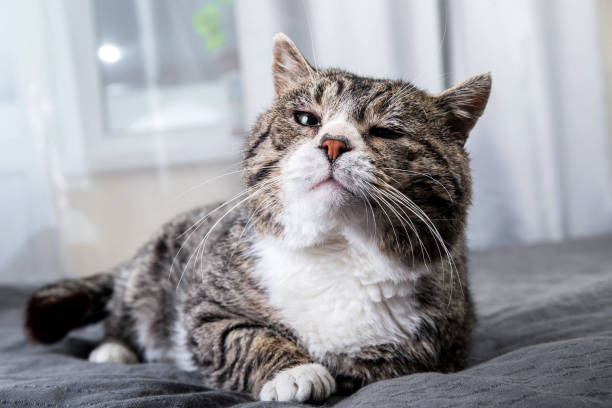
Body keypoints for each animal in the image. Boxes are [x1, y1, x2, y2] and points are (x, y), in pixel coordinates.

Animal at [25, 32, 492, 402]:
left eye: (387, 132)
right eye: (306, 118)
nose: (334, 143)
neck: (336, 250)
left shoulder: (431, 348)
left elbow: (365, 366)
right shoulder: (206, 309)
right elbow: (244, 337)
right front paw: (295, 372)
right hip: (151, 272)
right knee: (123, 306)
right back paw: (113, 349)